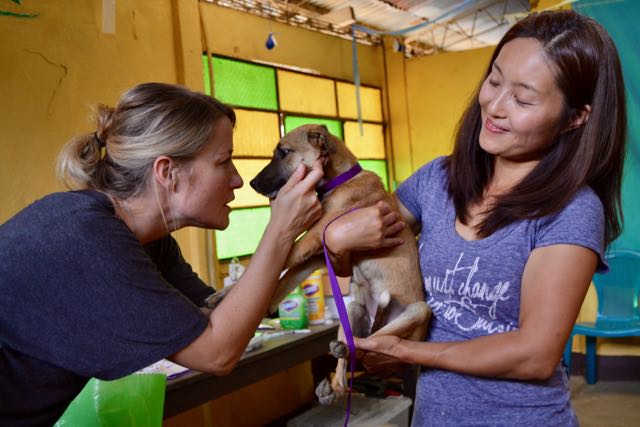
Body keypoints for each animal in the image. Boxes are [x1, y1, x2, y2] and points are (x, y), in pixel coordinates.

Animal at [250, 124, 431, 405]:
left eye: (284, 152)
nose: (252, 183)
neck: (341, 179)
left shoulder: (317, 234)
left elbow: (287, 255)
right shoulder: (320, 250)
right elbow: (287, 275)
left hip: (418, 311)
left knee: (371, 344)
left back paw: (346, 352)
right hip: (353, 311)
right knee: (349, 366)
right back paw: (330, 388)